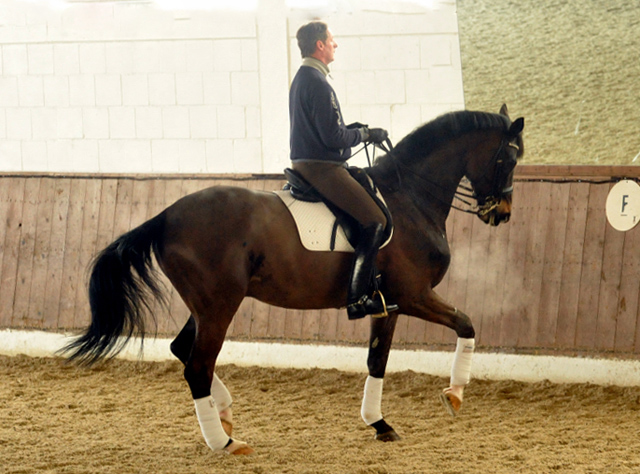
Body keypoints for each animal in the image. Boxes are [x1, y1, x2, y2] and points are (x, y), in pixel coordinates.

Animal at [63, 104, 524, 456]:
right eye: (508, 159)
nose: (502, 214)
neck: (410, 196)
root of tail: (165, 217)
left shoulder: (388, 304)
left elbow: (377, 361)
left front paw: (379, 423)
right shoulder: (414, 295)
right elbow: (466, 324)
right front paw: (455, 395)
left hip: (207, 304)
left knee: (183, 350)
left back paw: (225, 416)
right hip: (219, 304)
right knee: (197, 365)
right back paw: (224, 443)